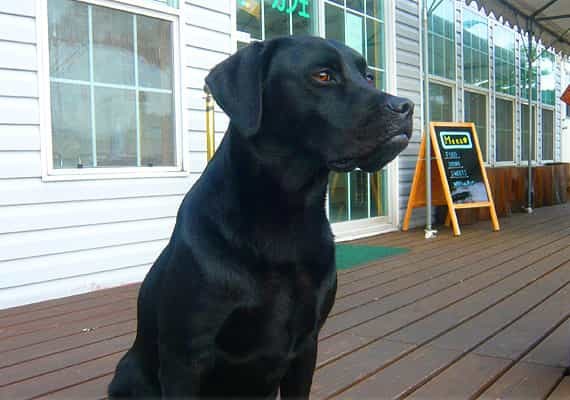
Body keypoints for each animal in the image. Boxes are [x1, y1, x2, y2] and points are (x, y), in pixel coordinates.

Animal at [107, 36, 408, 398]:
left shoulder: (306, 345)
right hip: (129, 375)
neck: (285, 216)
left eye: (369, 76)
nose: (405, 106)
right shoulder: (184, 358)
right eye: (323, 75)